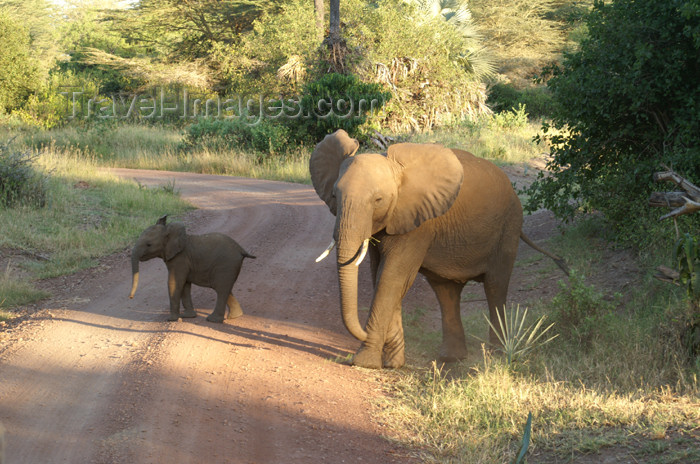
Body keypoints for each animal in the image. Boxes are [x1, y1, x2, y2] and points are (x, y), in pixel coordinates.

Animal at [312, 130, 568, 370]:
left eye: (378, 200)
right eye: (334, 195)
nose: (364, 333)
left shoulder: (419, 222)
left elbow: (392, 277)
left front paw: (365, 362)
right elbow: (382, 277)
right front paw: (393, 363)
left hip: (509, 225)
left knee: (495, 285)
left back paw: (497, 353)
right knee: (446, 292)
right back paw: (452, 357)